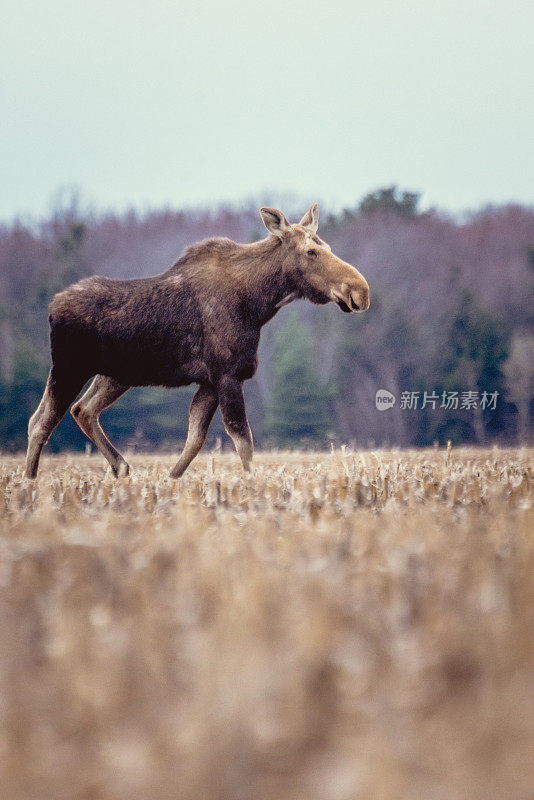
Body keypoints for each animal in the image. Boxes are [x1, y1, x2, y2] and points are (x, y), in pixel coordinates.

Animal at [25, 203, 370, 478]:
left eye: (327, 245)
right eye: (311, 251)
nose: (360, 291)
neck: (258, 304)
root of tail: (52, 307)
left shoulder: (209, 381)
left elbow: (195, 440)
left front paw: (171, 480)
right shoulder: (227, 375)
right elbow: (242, 441)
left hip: (115, 375)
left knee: (82, 410)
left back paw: (120, 466)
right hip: (69, 368)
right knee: (41, 421)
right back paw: (30, 483)